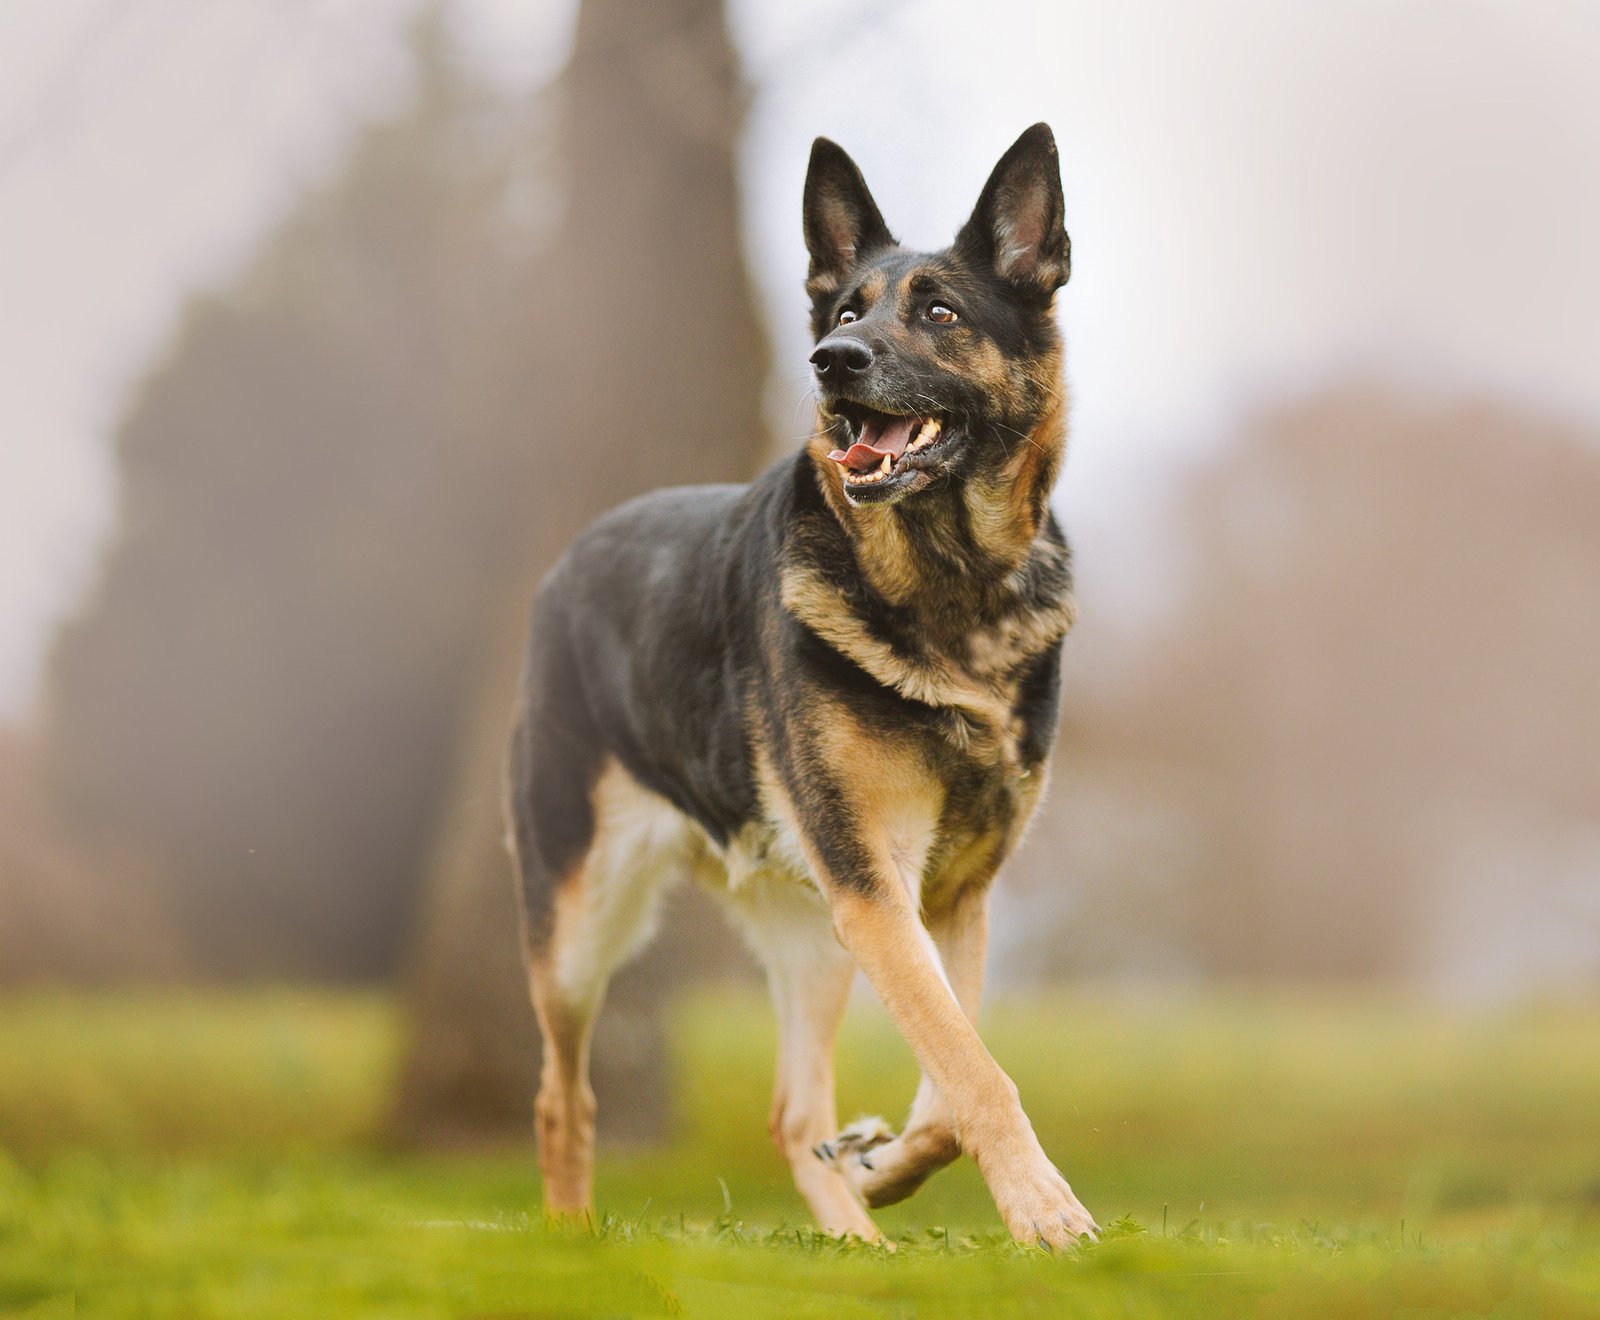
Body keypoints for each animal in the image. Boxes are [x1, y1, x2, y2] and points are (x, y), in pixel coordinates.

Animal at [505, 123, 1094, 1248]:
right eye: (847, 313)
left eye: (940, 313)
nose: (831, 361)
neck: (950, 591)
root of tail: (568, 561)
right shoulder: (878, 891)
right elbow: (974, 1071)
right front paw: (1045, 1211)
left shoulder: (946, 899)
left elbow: (949, 1080)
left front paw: (883, 1166)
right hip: (582, 923)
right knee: (561, 1098)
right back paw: (571, 1243)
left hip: (814, 937)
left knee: (791, 1113)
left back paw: (856, 1239)